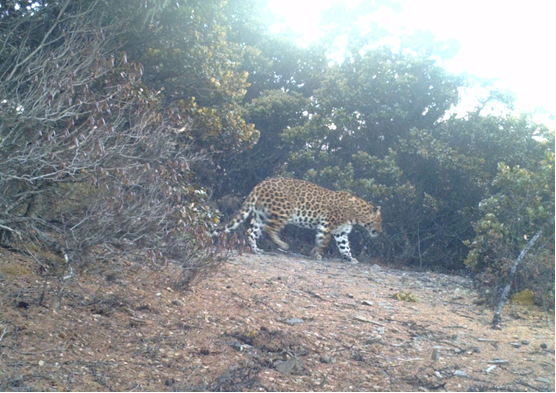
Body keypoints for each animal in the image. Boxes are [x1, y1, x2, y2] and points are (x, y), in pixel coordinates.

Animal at [216, 178, 382, 264]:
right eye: (379, 222)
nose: (380, 232)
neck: (356, 214)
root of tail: (261, 184)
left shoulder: (341, 232)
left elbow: (344, 246)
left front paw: (350, 258)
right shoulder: (327, 223)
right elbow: (324, 240)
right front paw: (317, 254)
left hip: (260, 214)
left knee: (252, 230)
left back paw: (256, 249)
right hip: (283, 210)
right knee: (269, 229)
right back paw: (282, 245)